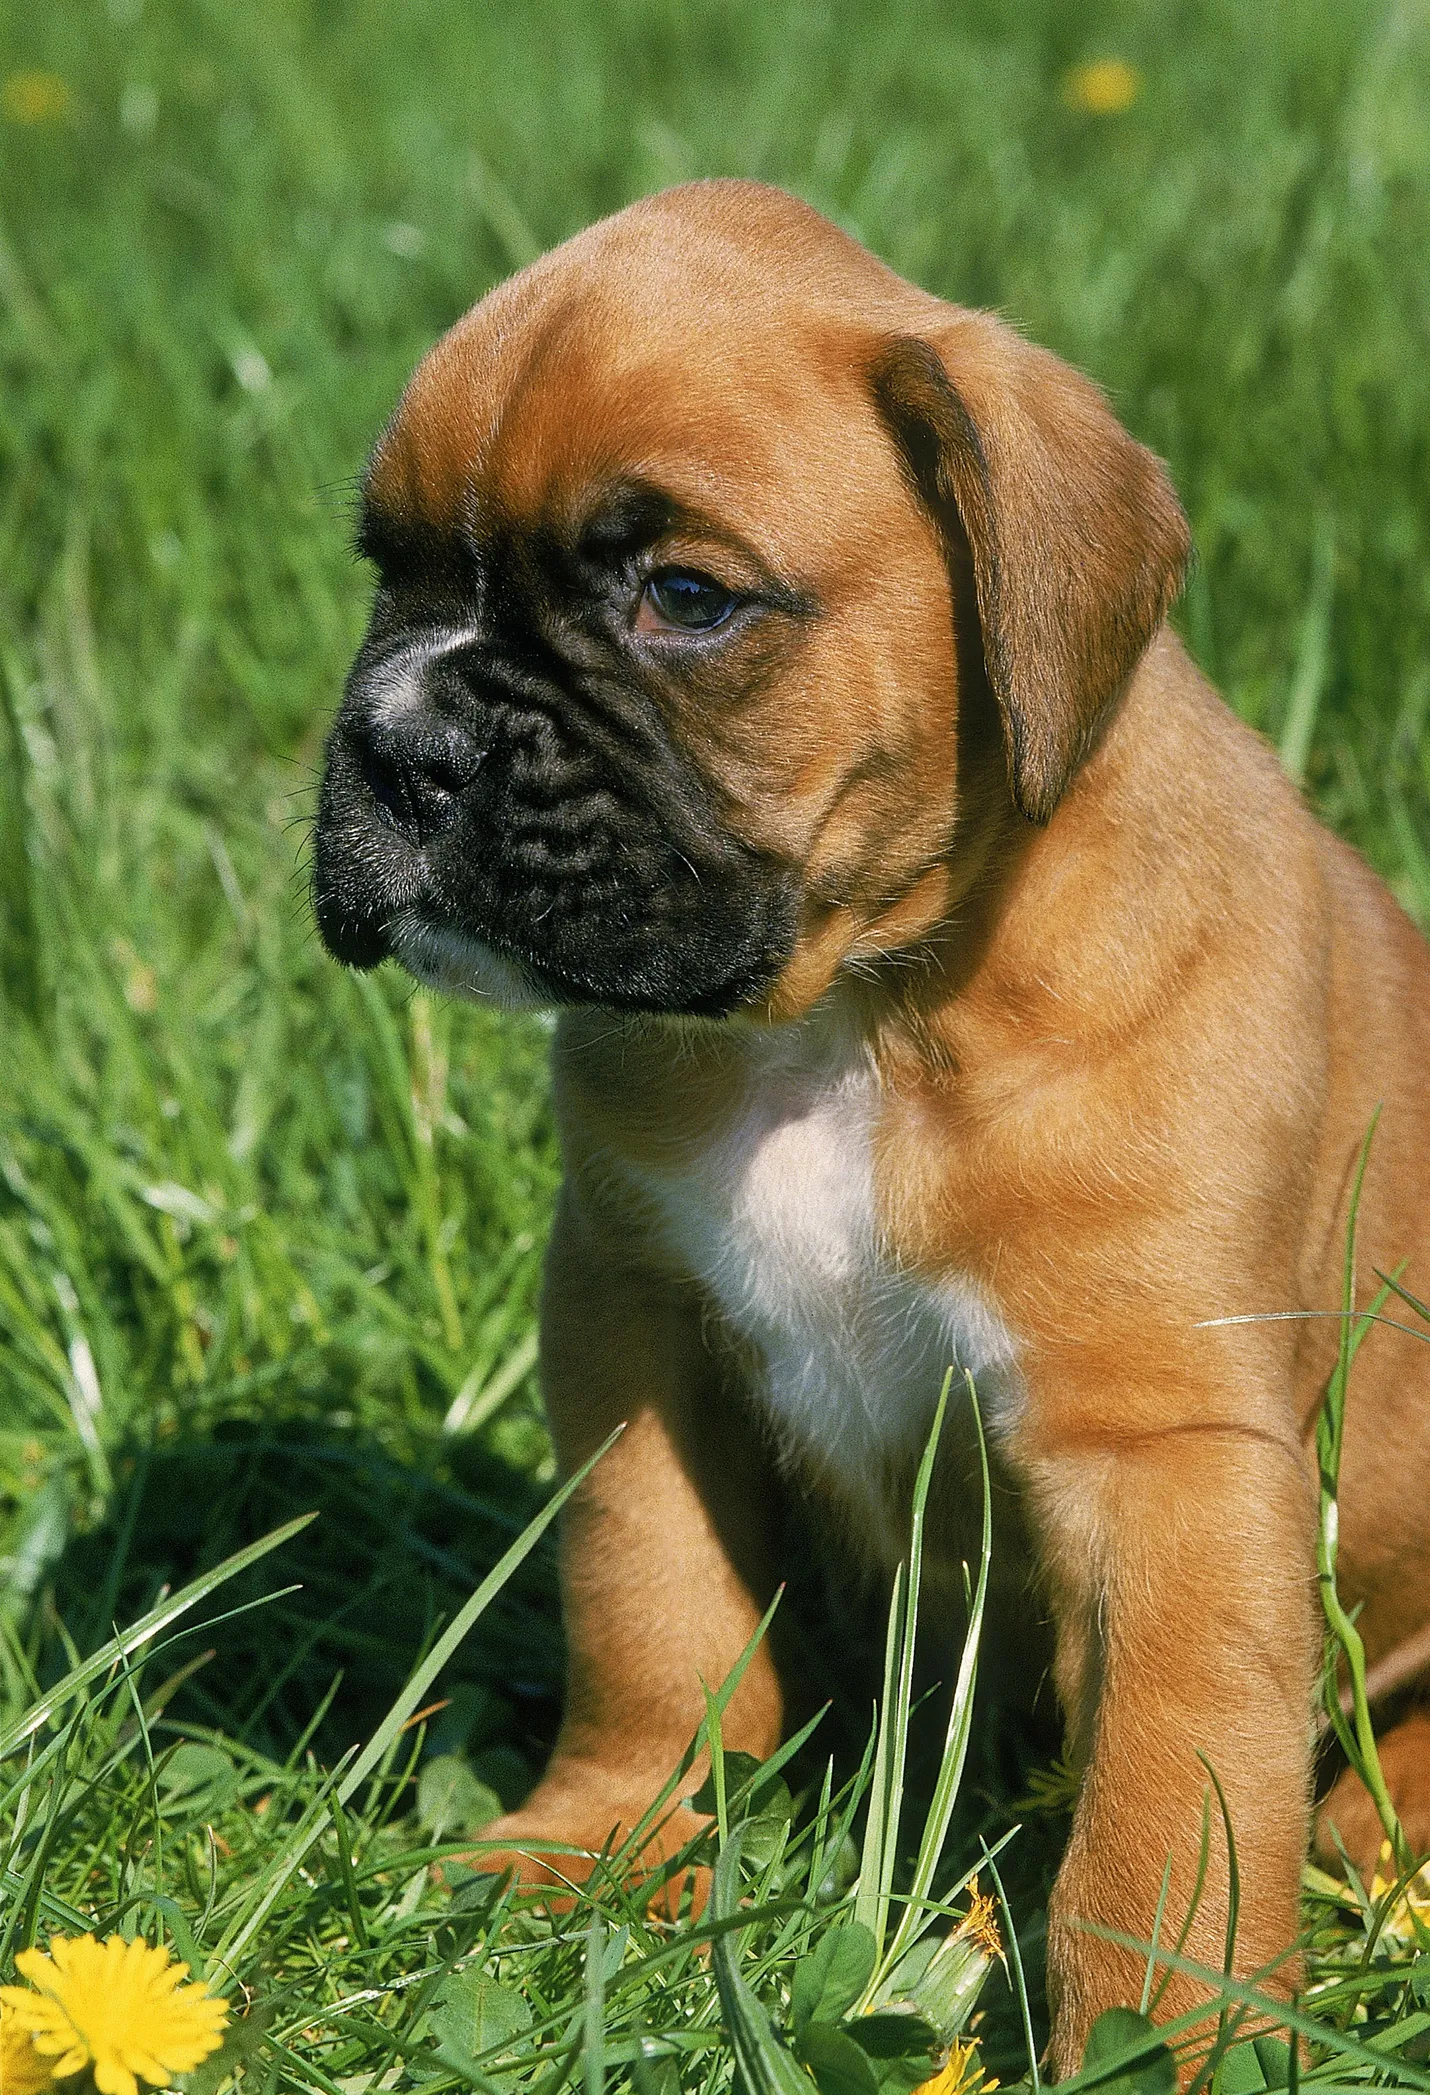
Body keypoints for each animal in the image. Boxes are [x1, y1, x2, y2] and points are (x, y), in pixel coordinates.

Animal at [309, 175, 1430, 2061]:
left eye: (685, 596)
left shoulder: (1170, 1457)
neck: (854, 1019)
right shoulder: (631, 1326)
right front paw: (598, 1837)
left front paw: (1158, 2043)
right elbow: (649, 1608)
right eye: (390, 568)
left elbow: (1170, 1799)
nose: (398, 741)